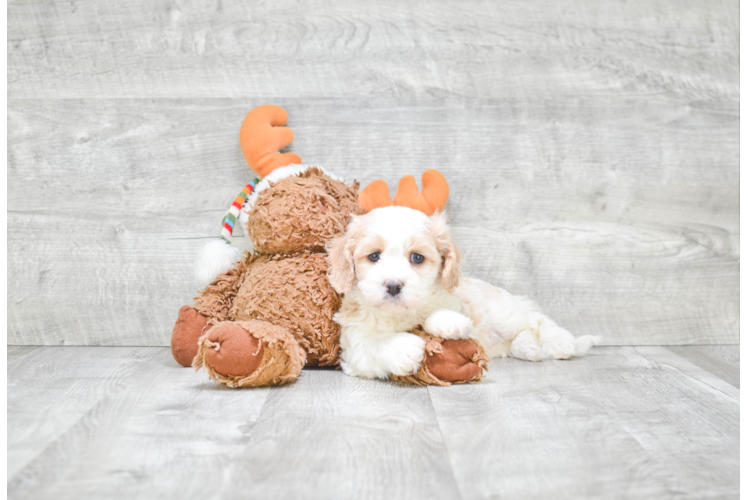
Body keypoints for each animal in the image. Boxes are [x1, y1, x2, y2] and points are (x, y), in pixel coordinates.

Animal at [328, 206, 600, 378]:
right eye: (374, 256)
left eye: (417, 258)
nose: (393, 285)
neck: (401, 315)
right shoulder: (353, 346)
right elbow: (372, 345)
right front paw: (403, 348)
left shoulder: (461, 305)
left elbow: (446, 310)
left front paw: (448, 321)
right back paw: (528, 347)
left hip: (504, 314)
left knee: (536, 319)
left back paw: (560, 342)